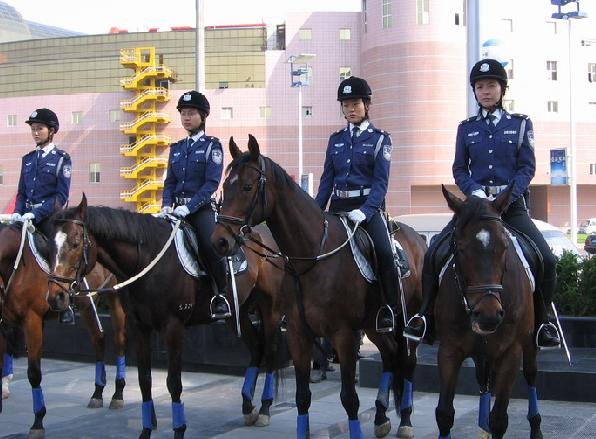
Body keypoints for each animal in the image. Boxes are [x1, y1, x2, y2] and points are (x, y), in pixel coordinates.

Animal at [0, 223, 125, 439]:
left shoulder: (32, 322)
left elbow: (34, 373)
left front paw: (38, 422)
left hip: (114, 296)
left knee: (119, 338)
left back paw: (118, 393)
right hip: (86, 304)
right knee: (99, 338)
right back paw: (97, 393)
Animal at [45, 200, 286, 439]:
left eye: (76, 243)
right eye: (49, 246)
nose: (55, 296)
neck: (148, 260)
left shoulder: (173, 328)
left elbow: (174, 382)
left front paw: (179, 429)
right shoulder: (139, 327)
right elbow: (144, 379)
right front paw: (146, 430)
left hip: (270, 310)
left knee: (271, 354)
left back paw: (264, 408)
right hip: (238, 311)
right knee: (256, 348)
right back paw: (248, 406)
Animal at [212, 136, 426, 438]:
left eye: (246, 187)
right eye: (224, 187)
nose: (219, 241)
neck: (313, 256)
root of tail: (418, 238)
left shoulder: (345, 336)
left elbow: (350, 399)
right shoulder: (298, 334)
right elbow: (302, 397)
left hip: (407, 324)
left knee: (406, 362)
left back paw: (405, 419)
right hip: (374, 325)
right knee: (389, 355)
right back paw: (381, 416)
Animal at [436, 187, 544, 439]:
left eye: (504, 247)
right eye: (461, 248)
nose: (488, 315)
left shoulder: (510, 353)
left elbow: (499, 419)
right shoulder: (449, 349)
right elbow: (444, 413)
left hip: (528, 342)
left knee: (531, 374)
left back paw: (535, 426)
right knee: (483, 380)